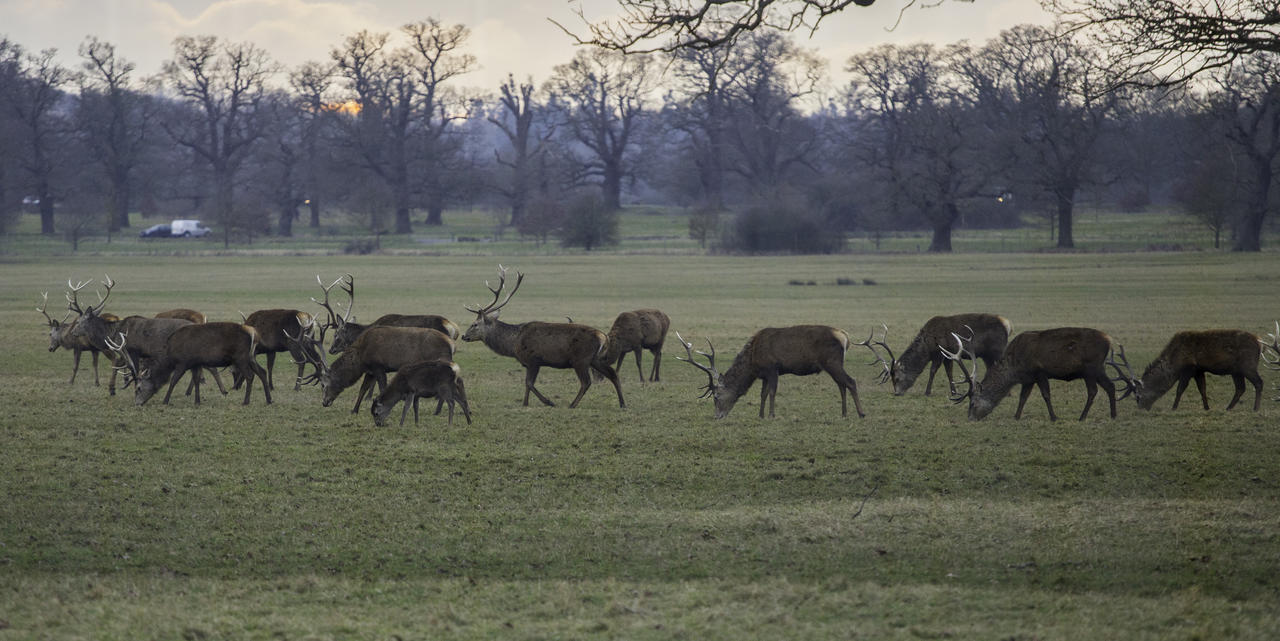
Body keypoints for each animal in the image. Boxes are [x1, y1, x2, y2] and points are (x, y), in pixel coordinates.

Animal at [111, 319, 271, 404]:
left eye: (138, 388)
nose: (137, 403)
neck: (170, 354)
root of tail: (253, 333)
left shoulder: (183, 362)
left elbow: (174, 380)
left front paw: (165, 400)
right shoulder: (196, 363)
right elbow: (196, 379)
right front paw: (197, 401)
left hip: (240, 357)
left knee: (250, 375)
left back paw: (246, 401)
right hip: (251, 356)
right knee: (262, 372)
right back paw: (269, 399)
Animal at [460, 266, 624, 406]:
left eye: (475, 324)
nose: (463, 336)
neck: (513, 344)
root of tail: (603, 336)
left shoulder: (534, 360)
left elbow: (529, 383)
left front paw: (549, 402)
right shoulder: (527, 363)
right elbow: (526, 383)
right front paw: (525, 403)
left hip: (581, 359)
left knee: (586, 382)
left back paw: (572, 404)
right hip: (596, 359)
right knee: (613, 374)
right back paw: (623, 404)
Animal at [675, 324, 865, 419]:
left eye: (716, 396)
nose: (717, 416)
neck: (753, 361)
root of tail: (845, 337)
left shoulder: (773, 368)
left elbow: (772, 392)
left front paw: (772, 415)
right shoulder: (764, 374)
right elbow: (763, 394)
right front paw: (760, 415)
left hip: (832, 362)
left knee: (851, 382)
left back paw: (861, 413)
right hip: (832, 365)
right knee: (841, 385)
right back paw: (844, 414)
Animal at [860, 313, 1008, 396]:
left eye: (896, 378)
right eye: (891, 379)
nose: (897, 393)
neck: (927, 347)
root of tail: (1007, 325)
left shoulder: (940, 353)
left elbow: (932, 371)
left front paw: (927, 392)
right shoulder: (949, 356)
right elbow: (949, 372)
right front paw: (954, 391)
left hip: (997, 351)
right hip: (987, 355)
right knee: (991, 368)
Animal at [942, 324, 1121, 419]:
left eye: (973, 403)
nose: (970, 419)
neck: (1015, 368)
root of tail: (1109, 340)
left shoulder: (1039, 372)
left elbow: (1045, 395)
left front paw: (1053, 417)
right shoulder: (1028, 379)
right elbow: (1023, 397)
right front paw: (1016, 416)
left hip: (1091, 368)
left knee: (1093, 391)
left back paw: (1082, 417)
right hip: (1098, 368)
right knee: (1110, 386)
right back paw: (1113, 415)